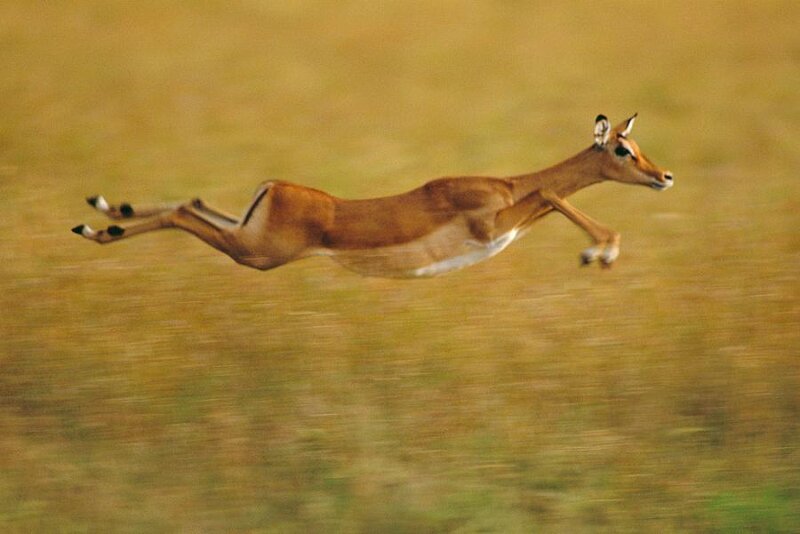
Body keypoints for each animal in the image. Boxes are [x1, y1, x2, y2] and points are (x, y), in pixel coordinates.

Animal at [72, 114, 672, 278]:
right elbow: (550, 189)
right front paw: (599, 253)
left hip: (246, 235)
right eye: (623, 150)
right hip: (257, 254)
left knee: (191, 202)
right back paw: (97, 228)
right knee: (181, 212)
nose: (664, 176)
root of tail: (275, 188)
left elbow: (549, 193)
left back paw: (100, 212)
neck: (503, 184)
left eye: (638, 145)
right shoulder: (492, 224)